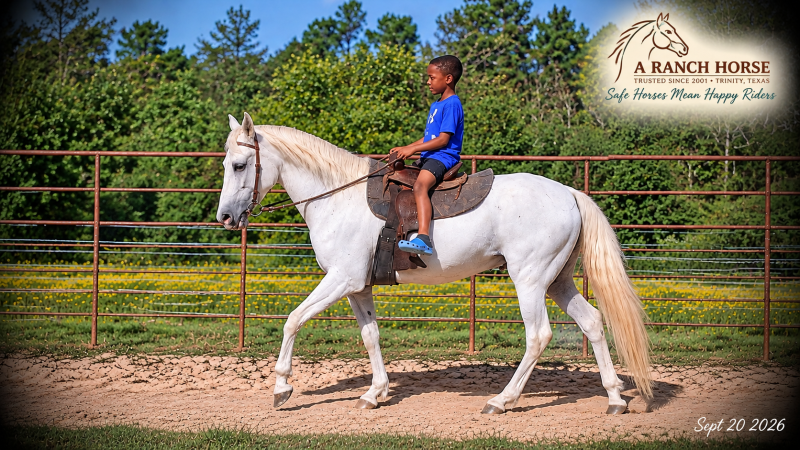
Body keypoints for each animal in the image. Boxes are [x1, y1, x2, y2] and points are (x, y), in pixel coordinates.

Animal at [216, 113, 652, 415]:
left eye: (239, 165)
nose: (225, 218)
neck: (337, 197)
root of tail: (569, 193)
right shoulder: (358, 287)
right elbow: (371, 336)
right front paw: (374, 394)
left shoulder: (340, 280)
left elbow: (293, 319)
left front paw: (282, 388)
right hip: (558, 280)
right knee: (593, 323)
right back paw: (615, 398)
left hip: (529, 280)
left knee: (538, 335)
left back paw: (501, 400)